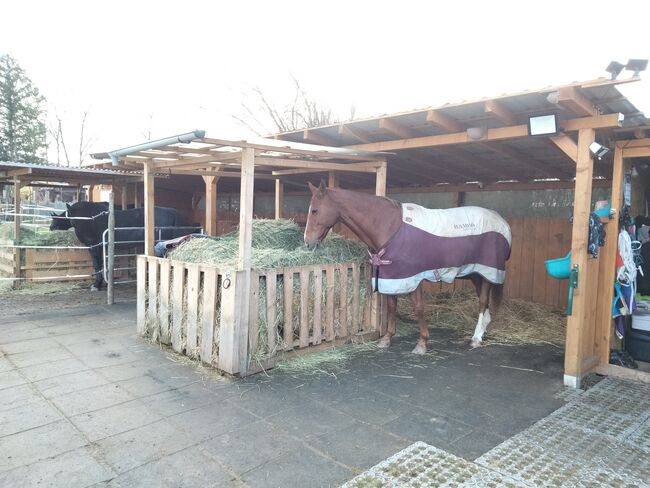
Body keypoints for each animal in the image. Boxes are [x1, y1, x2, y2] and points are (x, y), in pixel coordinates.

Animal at [50, 201, 190, 290]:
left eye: (57, 218)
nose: (52, 226)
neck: (86, 217)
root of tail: (175, 213)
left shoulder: (93, 245)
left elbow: (97, 265)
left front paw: (96, 285)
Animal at [304, 181, 512, 352]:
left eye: (314, 210)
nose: (308, 243)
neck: (389, 227)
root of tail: (503, 223)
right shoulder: (392, 277)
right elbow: (391, 306)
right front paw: (387, 338)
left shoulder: (413, 277)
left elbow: (418, 308)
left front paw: (422, 343)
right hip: (477, 273)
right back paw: (482, 331)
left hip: (488, 270)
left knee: (483, 301)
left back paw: (476, 338)